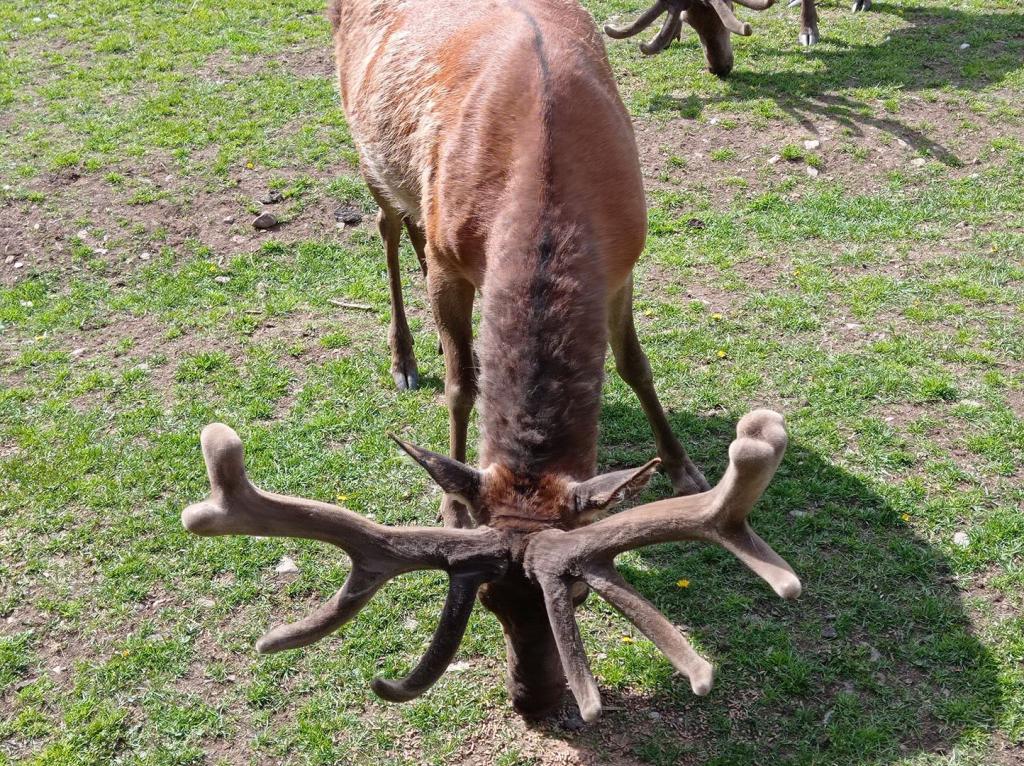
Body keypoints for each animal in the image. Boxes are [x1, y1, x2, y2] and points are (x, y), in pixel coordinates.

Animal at [180, 0, 798, 720]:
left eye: (579, 595)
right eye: (488, 599)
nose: (534, 704)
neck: (548, 171)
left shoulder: (623, 261)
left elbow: (634, 364)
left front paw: (680, 466)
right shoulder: (455, 260)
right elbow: (462, 384)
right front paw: (452, 505)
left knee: (413, 231)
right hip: (367, 151)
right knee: (389, 228)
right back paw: (404, 353)